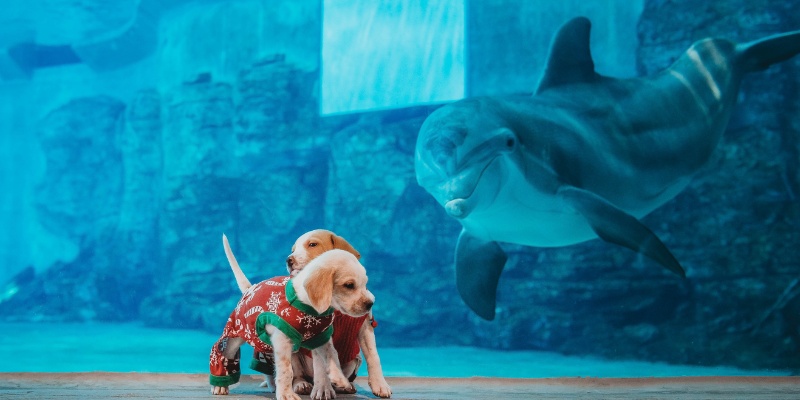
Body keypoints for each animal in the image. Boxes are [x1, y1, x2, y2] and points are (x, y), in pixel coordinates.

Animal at [223, 230, 392, 398]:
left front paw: (380, 385)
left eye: (312, 244)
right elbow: (319, 364)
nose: (289, 260)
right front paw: (323, 389)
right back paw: (299, 384)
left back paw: (344, 385)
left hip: (354, 359)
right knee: (292, 374)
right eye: (293, 249)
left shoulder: (364, 327)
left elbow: (373, 356)